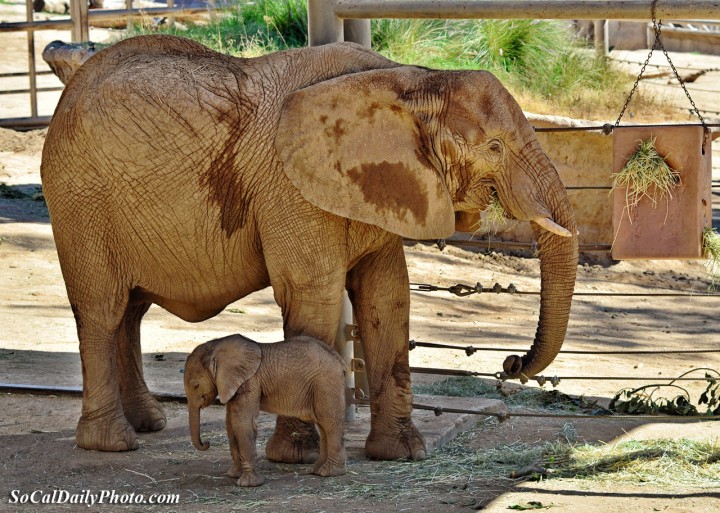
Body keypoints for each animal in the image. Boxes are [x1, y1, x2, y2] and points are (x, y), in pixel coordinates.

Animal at [40, 37, 580, 460]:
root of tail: (72, 85)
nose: (511, 364)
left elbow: (387, 296)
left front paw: (402, 453)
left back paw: (149, 424)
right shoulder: (291, 186)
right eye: (494, 148)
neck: (409, 79)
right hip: (79, 198)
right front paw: (296, 455)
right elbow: (314, 294)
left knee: (129, 311)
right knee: (102, 308)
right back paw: (112, 443)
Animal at [183, 332, 346, 484]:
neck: (216, 346)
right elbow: (230, 423)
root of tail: (340, 361)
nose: (206, 443)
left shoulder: (249, 382)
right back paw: (317, 470)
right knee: (323, 426)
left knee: (330, 423)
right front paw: (233, 475)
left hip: (326, 383)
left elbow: (243, 423)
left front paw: (248, 484)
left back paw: (329, 473)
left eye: (196, 385)